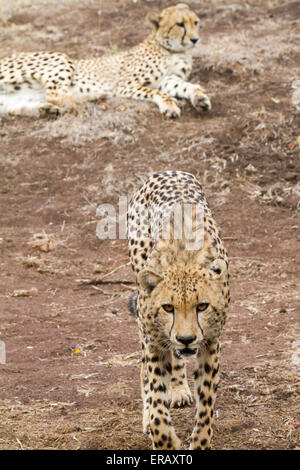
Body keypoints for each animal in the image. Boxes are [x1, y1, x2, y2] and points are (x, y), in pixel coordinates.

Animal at [0, 4, 211, 117]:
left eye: (196, 23)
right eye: (180, 24)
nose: (195, 39)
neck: (173, 50)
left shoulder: (170, 79)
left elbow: (186, 86)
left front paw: (199, 97)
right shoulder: (126, 85)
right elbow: (158, 92)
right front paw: (169, 105)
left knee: (16, 108)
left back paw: (45, 110)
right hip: (60, 57)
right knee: (54, 94)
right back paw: (96, 95)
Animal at [127, 171, 230, 450]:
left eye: (202, 306)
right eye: (168, 307)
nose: (185, 339)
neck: (184, 260)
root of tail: (166, 171)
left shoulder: (210, 342)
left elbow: (206, 405)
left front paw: (200, 442)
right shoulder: (153, 340)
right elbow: (156, 406)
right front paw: (163, 439)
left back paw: (178, 387)